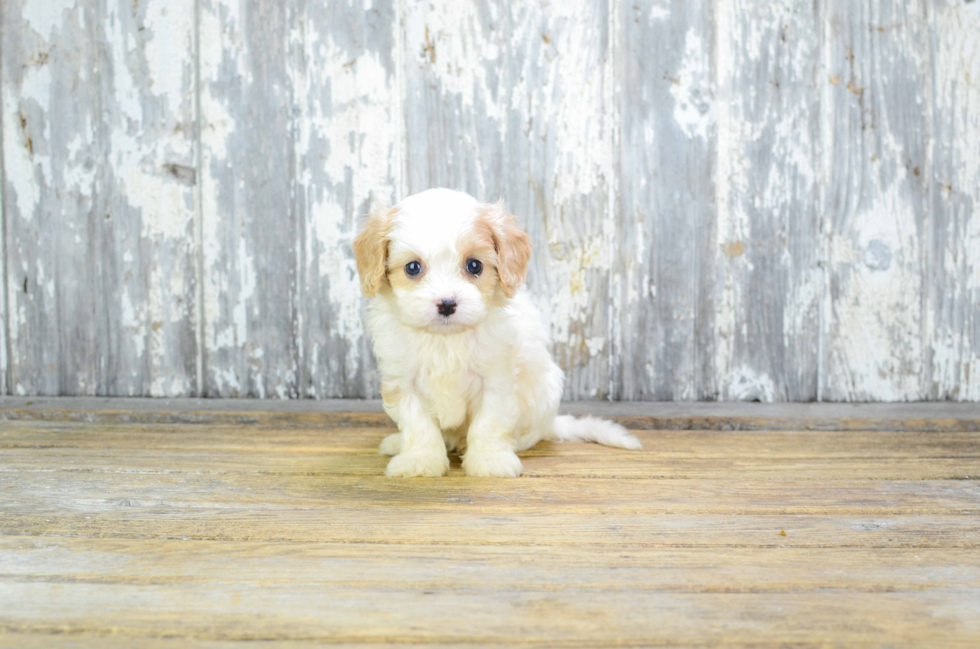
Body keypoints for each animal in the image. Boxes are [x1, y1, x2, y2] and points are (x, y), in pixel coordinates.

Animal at [352, 187, 644, 476]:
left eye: (474, 265)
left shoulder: (495, 378)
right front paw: (419, 462)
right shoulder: (403, 381)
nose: (446, 304)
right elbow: (418, 424)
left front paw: (489, 460)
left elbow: (489, 422)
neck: (446, 339)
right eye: (413, 267)